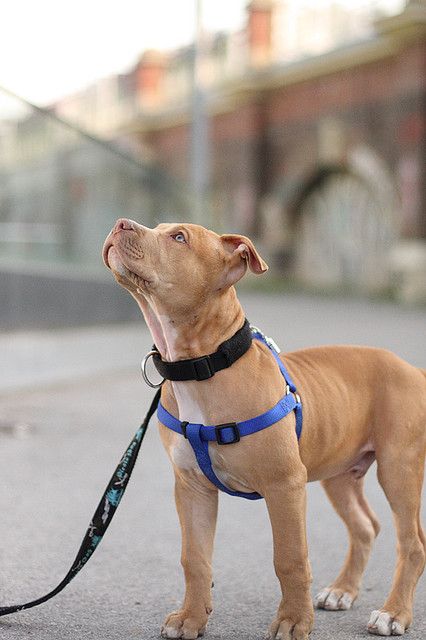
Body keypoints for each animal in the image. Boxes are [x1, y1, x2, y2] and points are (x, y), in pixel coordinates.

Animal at [103, 220, 426, 640]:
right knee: (365, 527)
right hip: (339, 472)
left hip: (398, 468)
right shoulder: (191, 487)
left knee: (412, 543)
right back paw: (342, 591)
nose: (120, 223)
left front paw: (293, 621)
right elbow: (195, 558)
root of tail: (411, 368)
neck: (204, 367)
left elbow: (290, 558)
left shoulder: (284, 484)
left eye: (179, 237)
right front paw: (191, 618)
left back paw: (393, 613)